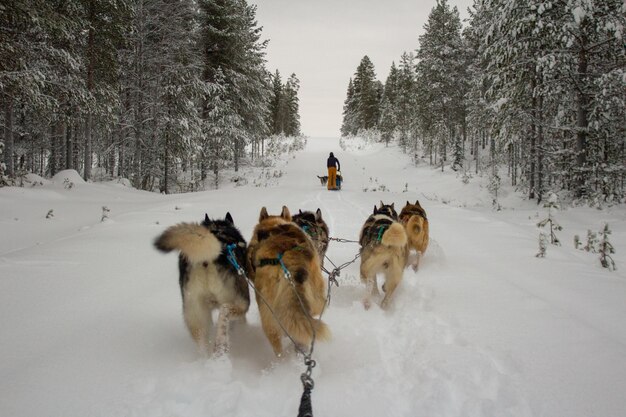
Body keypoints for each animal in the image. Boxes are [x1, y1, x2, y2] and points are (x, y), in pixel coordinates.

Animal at [152, 214, 247, 354]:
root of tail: (207, 259)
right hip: (239, 301)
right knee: (224, 314)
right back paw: (221, 344)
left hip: (194, 312)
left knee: (202, 343)